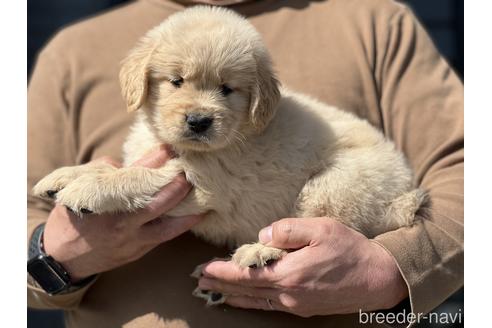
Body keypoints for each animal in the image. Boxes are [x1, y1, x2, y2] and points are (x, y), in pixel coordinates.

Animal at [35, 6, 426, 304]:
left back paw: (260, 252)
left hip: (334, 186)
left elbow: (135, 175)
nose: (199, 121)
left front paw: (90, 189)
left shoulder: (204, 184)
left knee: (317, 232)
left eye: (227, 89)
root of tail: (402, 194)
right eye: (176, 81)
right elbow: (120, 165)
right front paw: (65, 175)